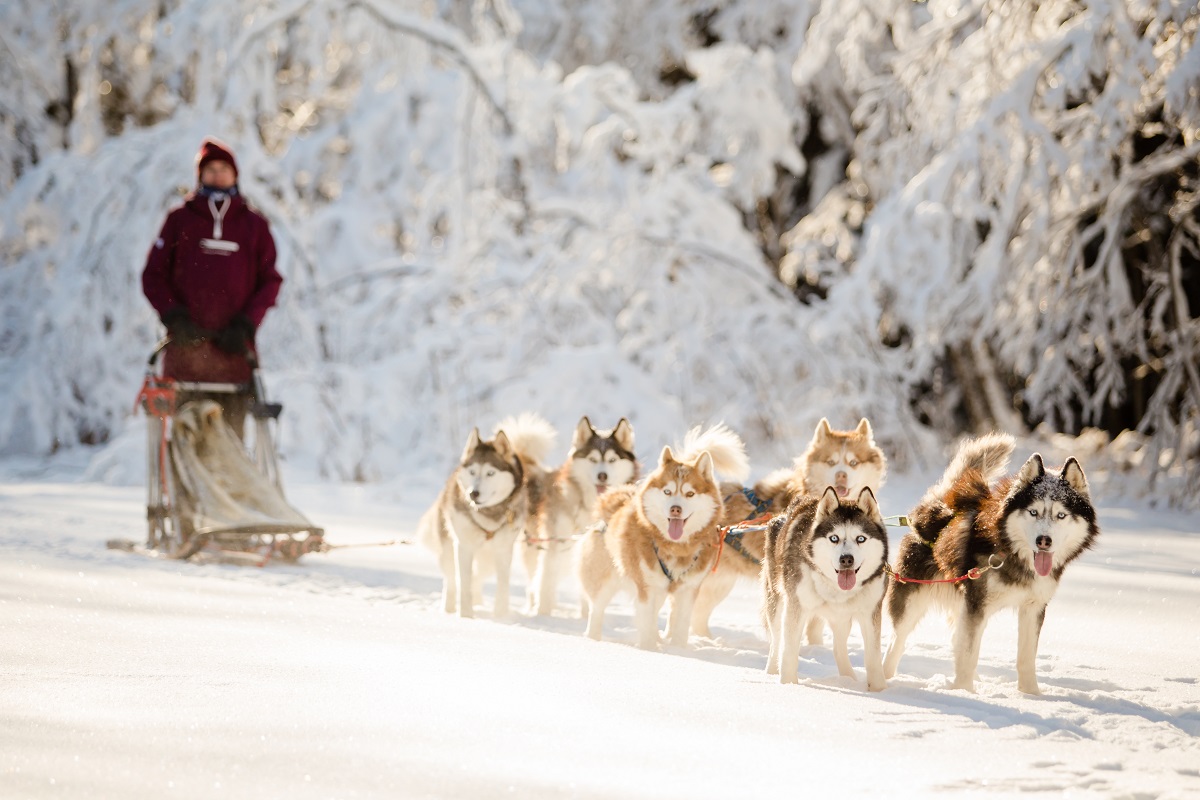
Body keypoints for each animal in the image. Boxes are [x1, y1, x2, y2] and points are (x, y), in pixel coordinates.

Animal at [417, 413, 556, 619]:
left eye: (491, 473)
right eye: (472, 471)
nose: (473, 493)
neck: (488, 515)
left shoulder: (503, 551)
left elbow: (502, 586)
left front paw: (500, 616)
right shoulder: (464, 547)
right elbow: (464, 583)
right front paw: (466, 615)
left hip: (488, 560)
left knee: (477, 577)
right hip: (449, 548)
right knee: (452, 579)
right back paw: (449, 608)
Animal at [519, 416, 638, 616]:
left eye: (612, 460)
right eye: (593, 459)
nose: (602, 475)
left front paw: (584, 615)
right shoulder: (554, 543)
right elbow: (545, 581)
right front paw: (543, 613)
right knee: (535, 579)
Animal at [578, 423, 749, 649]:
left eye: (690, 494)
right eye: (667, 492)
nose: (675, 509)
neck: (676, 548)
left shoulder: (688, 590)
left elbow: (680, 625)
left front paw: (677, 649)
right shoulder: (646, 587)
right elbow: (645, 621)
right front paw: (648, 648)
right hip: (604, 581)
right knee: (597, 609)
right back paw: (594, 638)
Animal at [762, 486, 889, 689]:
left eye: (860, 538)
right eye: (834, 538)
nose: (846, 559)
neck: (836, 588)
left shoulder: (870, 612)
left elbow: (873, 657)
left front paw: (879, 690)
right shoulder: (796, 606)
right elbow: (788, 650)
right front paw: (788, 685)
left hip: (842, 617)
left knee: (838, 648)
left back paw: (848, 679)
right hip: (777, 601)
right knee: (776, 640)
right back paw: (771, 672)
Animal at [883, 433, 1100, 694]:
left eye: (1061, 515)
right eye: (1033, 512)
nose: (1044, 540)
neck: (1011, 553)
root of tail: (939, 504)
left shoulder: (1033, 608)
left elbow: (1026, 658)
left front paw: (1031, 695)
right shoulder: (976, 607)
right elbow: (968, 654)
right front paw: (964, 693)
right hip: (912, 601)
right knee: (897, 641)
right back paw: (884, 677)